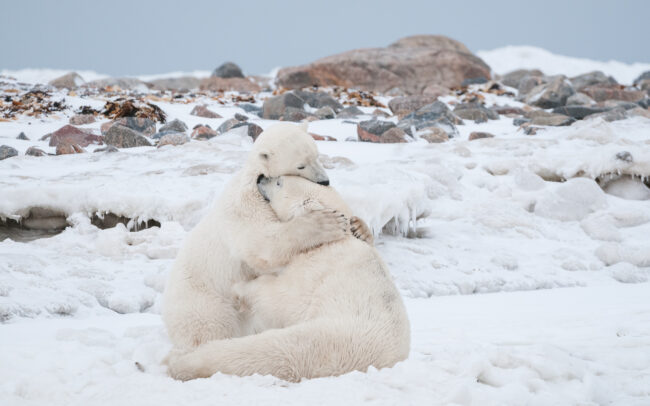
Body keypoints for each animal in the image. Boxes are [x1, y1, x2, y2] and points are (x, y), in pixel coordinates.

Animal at [162, 123, 350, 350]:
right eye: (300, 166)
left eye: (317, 155)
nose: (324, 181)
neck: (256, 177)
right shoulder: (246, 203)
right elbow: (261, 243)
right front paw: (326, 223)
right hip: (204, 301)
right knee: (210, 327)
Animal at [166, 175, 411, 382]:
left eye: (279, 182)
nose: (261, 177)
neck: (336, 242)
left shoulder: (315, 267)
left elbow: (281, 296)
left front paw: (241, 289)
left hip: (328, 336)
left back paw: (182, 361)